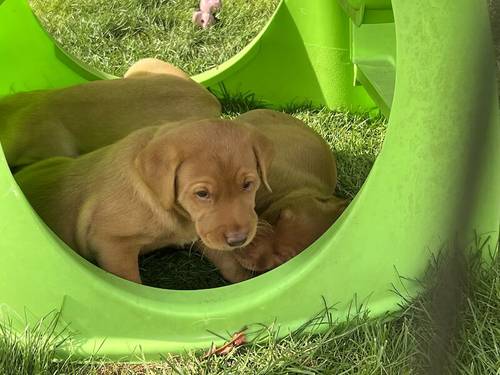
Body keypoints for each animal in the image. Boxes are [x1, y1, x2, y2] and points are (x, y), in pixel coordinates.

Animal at [14, 119, 274, 284]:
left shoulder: (202, 230)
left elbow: (227, 261)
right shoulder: (111, 244)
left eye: (247, 184)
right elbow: (131, 281)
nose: (238, 240)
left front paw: (245, 279)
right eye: (202, 194)